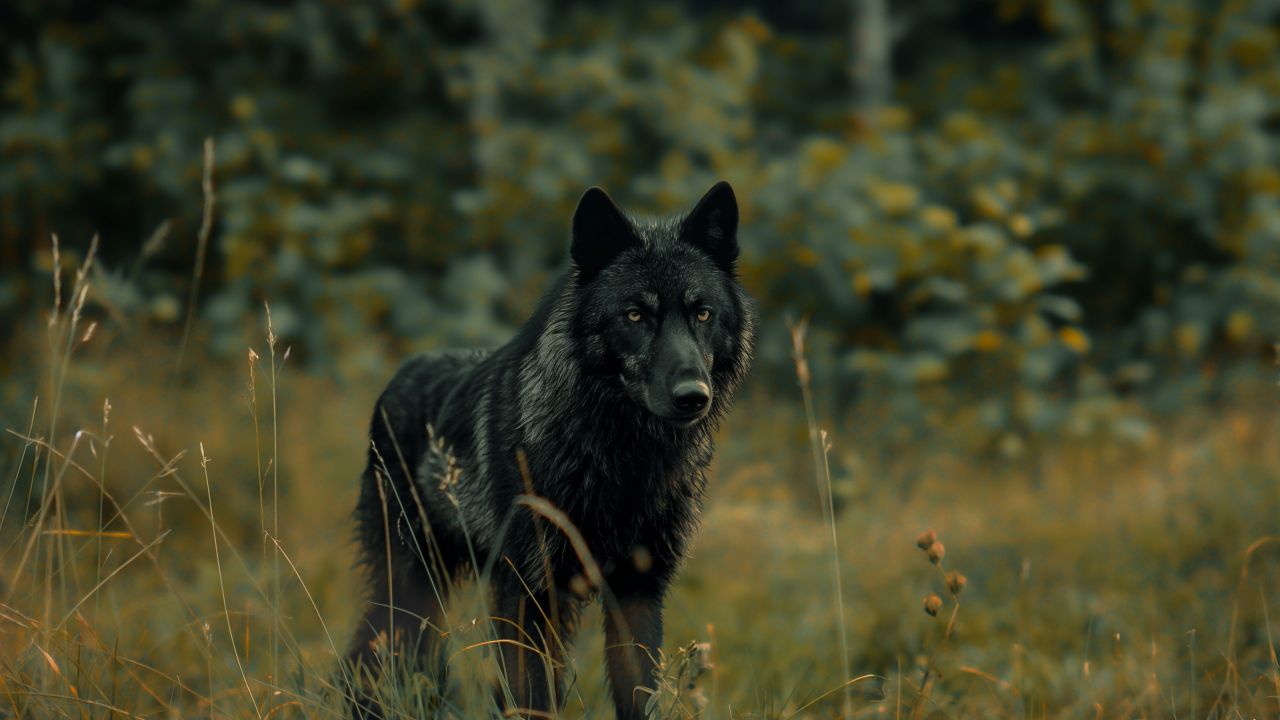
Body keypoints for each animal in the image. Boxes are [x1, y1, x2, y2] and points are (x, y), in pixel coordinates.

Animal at [347, 181, 756, 720]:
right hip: (411, 587)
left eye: (702, 313)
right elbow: (533, 700)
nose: (693, 396)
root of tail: (401, 373)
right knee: (364, 657)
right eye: (635, 315)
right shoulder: (528, 594)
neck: (622, 460)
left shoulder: (638, 592)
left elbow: (636, 697)